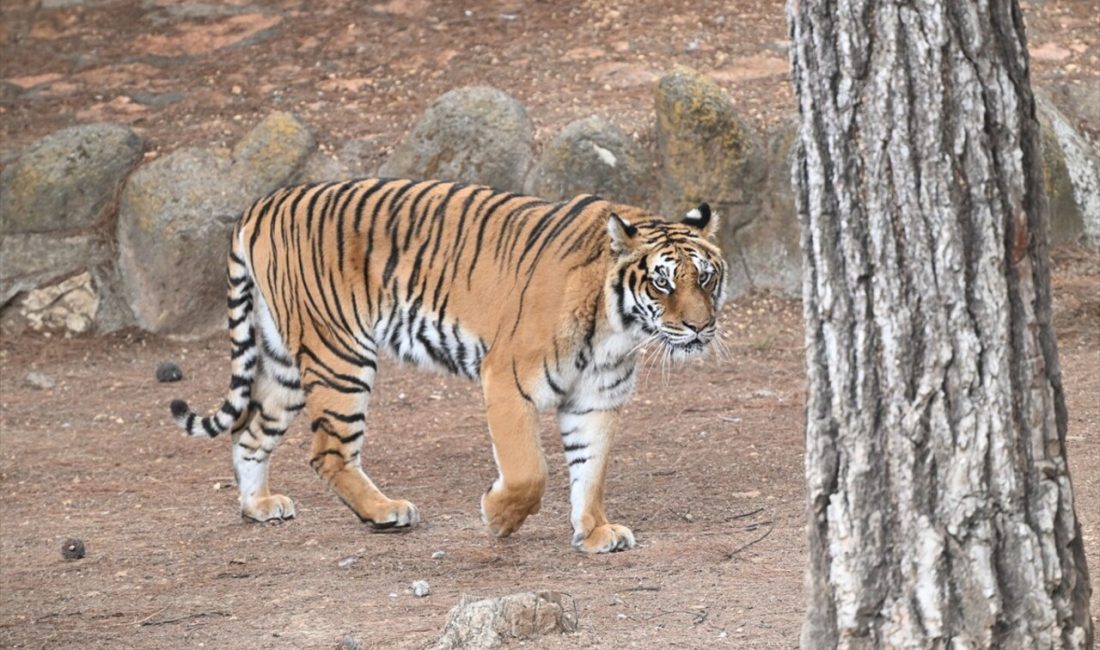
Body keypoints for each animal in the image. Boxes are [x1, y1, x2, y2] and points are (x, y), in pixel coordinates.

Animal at [169, 178, 721, 554]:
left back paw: (259, 507)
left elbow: (591, 471)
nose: (700, 327)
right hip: (338, 354)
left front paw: (594, 531)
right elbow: (529, 472)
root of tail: (263, 203)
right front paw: (499, 518)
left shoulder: (596, 401)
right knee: (328, 452)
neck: (618, 332)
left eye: (706, 279)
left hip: (285, 360)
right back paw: (384, 512)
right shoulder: (507, 381)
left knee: (249, 431)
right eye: (662, 283)